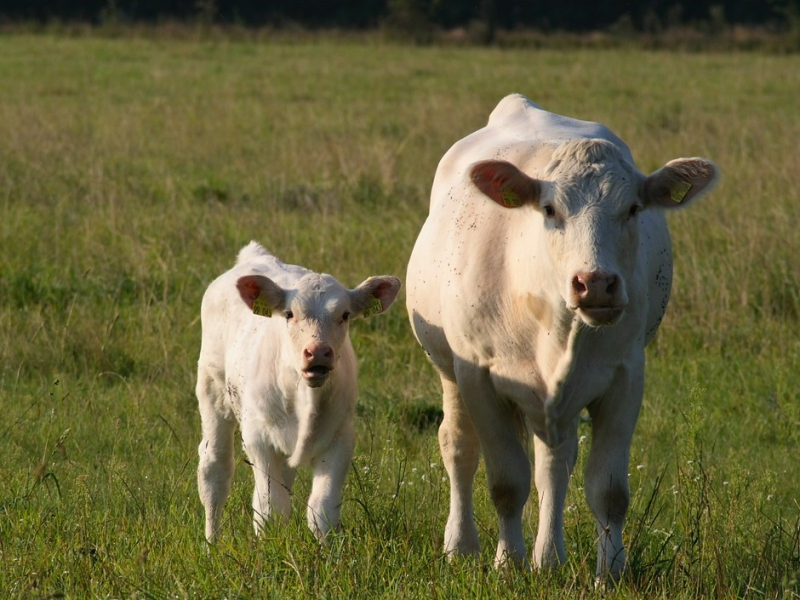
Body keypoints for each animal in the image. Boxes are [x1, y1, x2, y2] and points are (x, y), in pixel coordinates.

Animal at [198, 241, 404, 540]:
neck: (305, 399)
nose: (317, 351)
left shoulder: (341, 437)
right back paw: (212, 541)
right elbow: (270, 510)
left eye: (344, 315)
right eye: (289, 314)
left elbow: (322, 510)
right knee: (215, 471)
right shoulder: (258, 439)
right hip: (212, 392)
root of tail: (255, 255)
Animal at [406, 95, 720, 580]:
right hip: (450, 372)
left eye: (634, 209)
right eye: (551, 209)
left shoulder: (625, 377)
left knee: (554, 463)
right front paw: (508, 562)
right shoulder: (479, 377)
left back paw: (549, 558)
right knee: (459, 447)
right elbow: (506, 481)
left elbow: (608, 489)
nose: (596, 283)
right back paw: (462, 546)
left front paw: (609, 572)